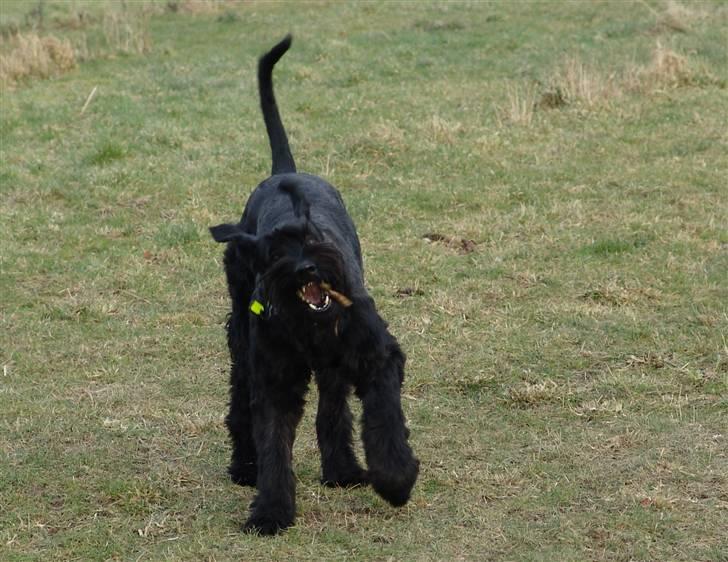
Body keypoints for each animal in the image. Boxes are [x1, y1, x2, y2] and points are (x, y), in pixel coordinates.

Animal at [208, 35, 418, 532]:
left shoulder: (376, 356)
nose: (305, 268)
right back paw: (245, 465)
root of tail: (283, 169)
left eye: (311, 236)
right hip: (242, 340)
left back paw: (342, 470)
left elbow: (383, 420)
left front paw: (395, 481)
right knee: (241, 399)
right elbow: (273, 442)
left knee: (333, 409)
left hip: (332, 367)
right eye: (274, 252)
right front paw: (271, 511)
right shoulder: (275, 378)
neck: (309, 326)